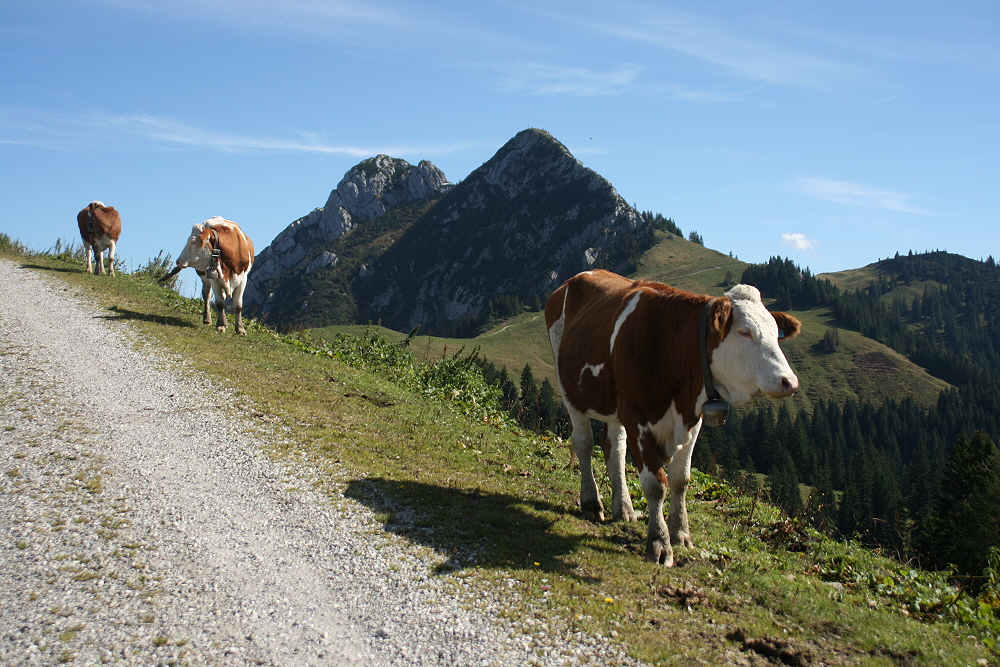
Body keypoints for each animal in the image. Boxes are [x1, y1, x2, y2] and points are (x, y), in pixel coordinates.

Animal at [544, 268, 800, 568]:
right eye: (744, 331)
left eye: (776, 334)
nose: (789, 381)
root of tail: (572, 280)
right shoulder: (636, 416)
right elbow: (656, 483)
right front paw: (659, 542)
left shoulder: (692, 418)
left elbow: (681, 479)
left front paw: (681, 533)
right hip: (569, 387)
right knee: (584, 442)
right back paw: (591, 503)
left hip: (613, 404)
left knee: (614, 448)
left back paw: (624, 508)